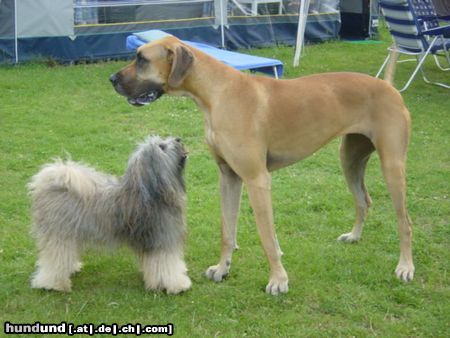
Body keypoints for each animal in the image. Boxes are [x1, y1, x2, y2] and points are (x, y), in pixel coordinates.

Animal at [28, 136, 190, 294]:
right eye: (162, 146)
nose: (178, 139)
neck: (153, 193)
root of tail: (51, 184)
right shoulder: (162, 241)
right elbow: (168, 265)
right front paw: (177, 285)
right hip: (60, 234)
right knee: (55, 259)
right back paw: (53, 284)